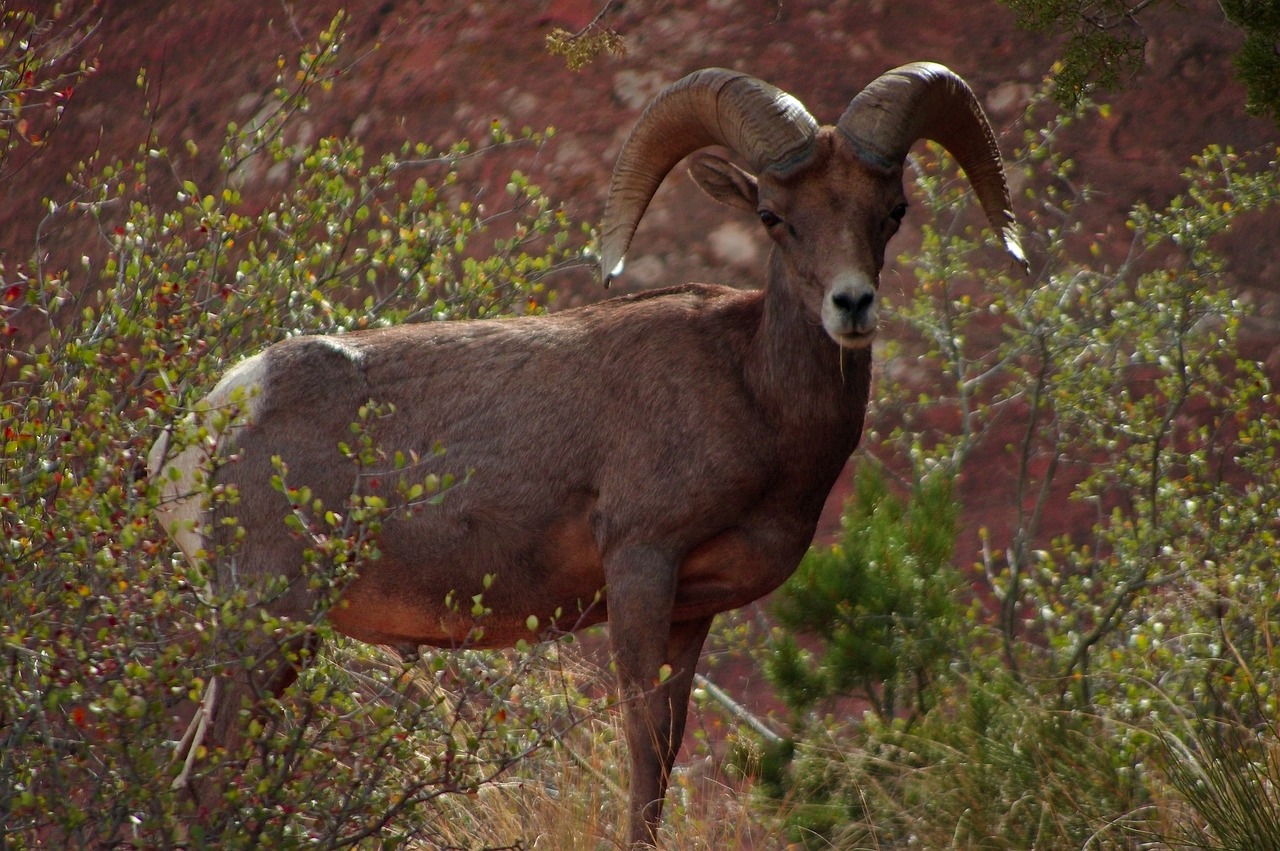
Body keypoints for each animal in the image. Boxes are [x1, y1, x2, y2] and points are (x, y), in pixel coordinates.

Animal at [149, 64, 1024, 844]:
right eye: (775, 216)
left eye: (892, 210)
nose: (852, 305)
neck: (750, 388)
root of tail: (209, 423)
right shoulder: (640, 563)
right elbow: (641, 749)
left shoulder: (692, 610)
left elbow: (667, 750)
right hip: (264, 620)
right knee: (200, 779)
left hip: (278, 636)